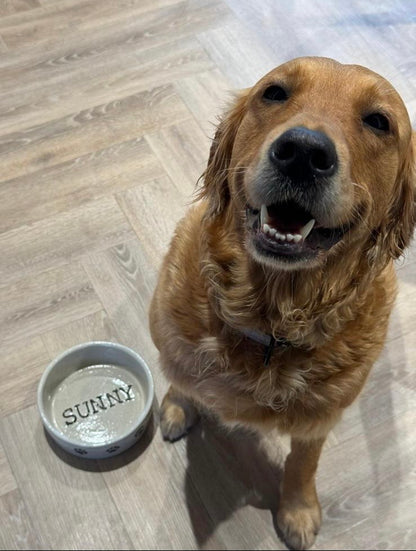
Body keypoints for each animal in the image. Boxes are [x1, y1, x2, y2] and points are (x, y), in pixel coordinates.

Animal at [149, 57, 412, 551]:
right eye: (274, 93)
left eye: (378, 121)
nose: (304, 152)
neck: (271, 323)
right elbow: (182, 378)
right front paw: (178, 404)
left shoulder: (322, 417)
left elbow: (303, 463)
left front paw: (298, 508)